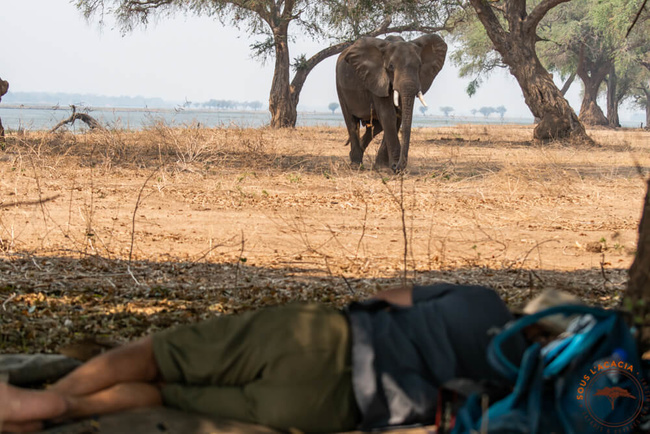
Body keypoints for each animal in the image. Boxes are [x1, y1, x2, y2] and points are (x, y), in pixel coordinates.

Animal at [334, 33, 446, 171]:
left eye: (419, 66)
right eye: (391, 67)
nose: (396, 167)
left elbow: (398, 116)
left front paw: (382, 167)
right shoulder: (377, 79)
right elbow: (388, 115)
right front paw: (390, 167)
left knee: (375, 127)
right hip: (340, 86)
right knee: (351, 122)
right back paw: (356, 164)